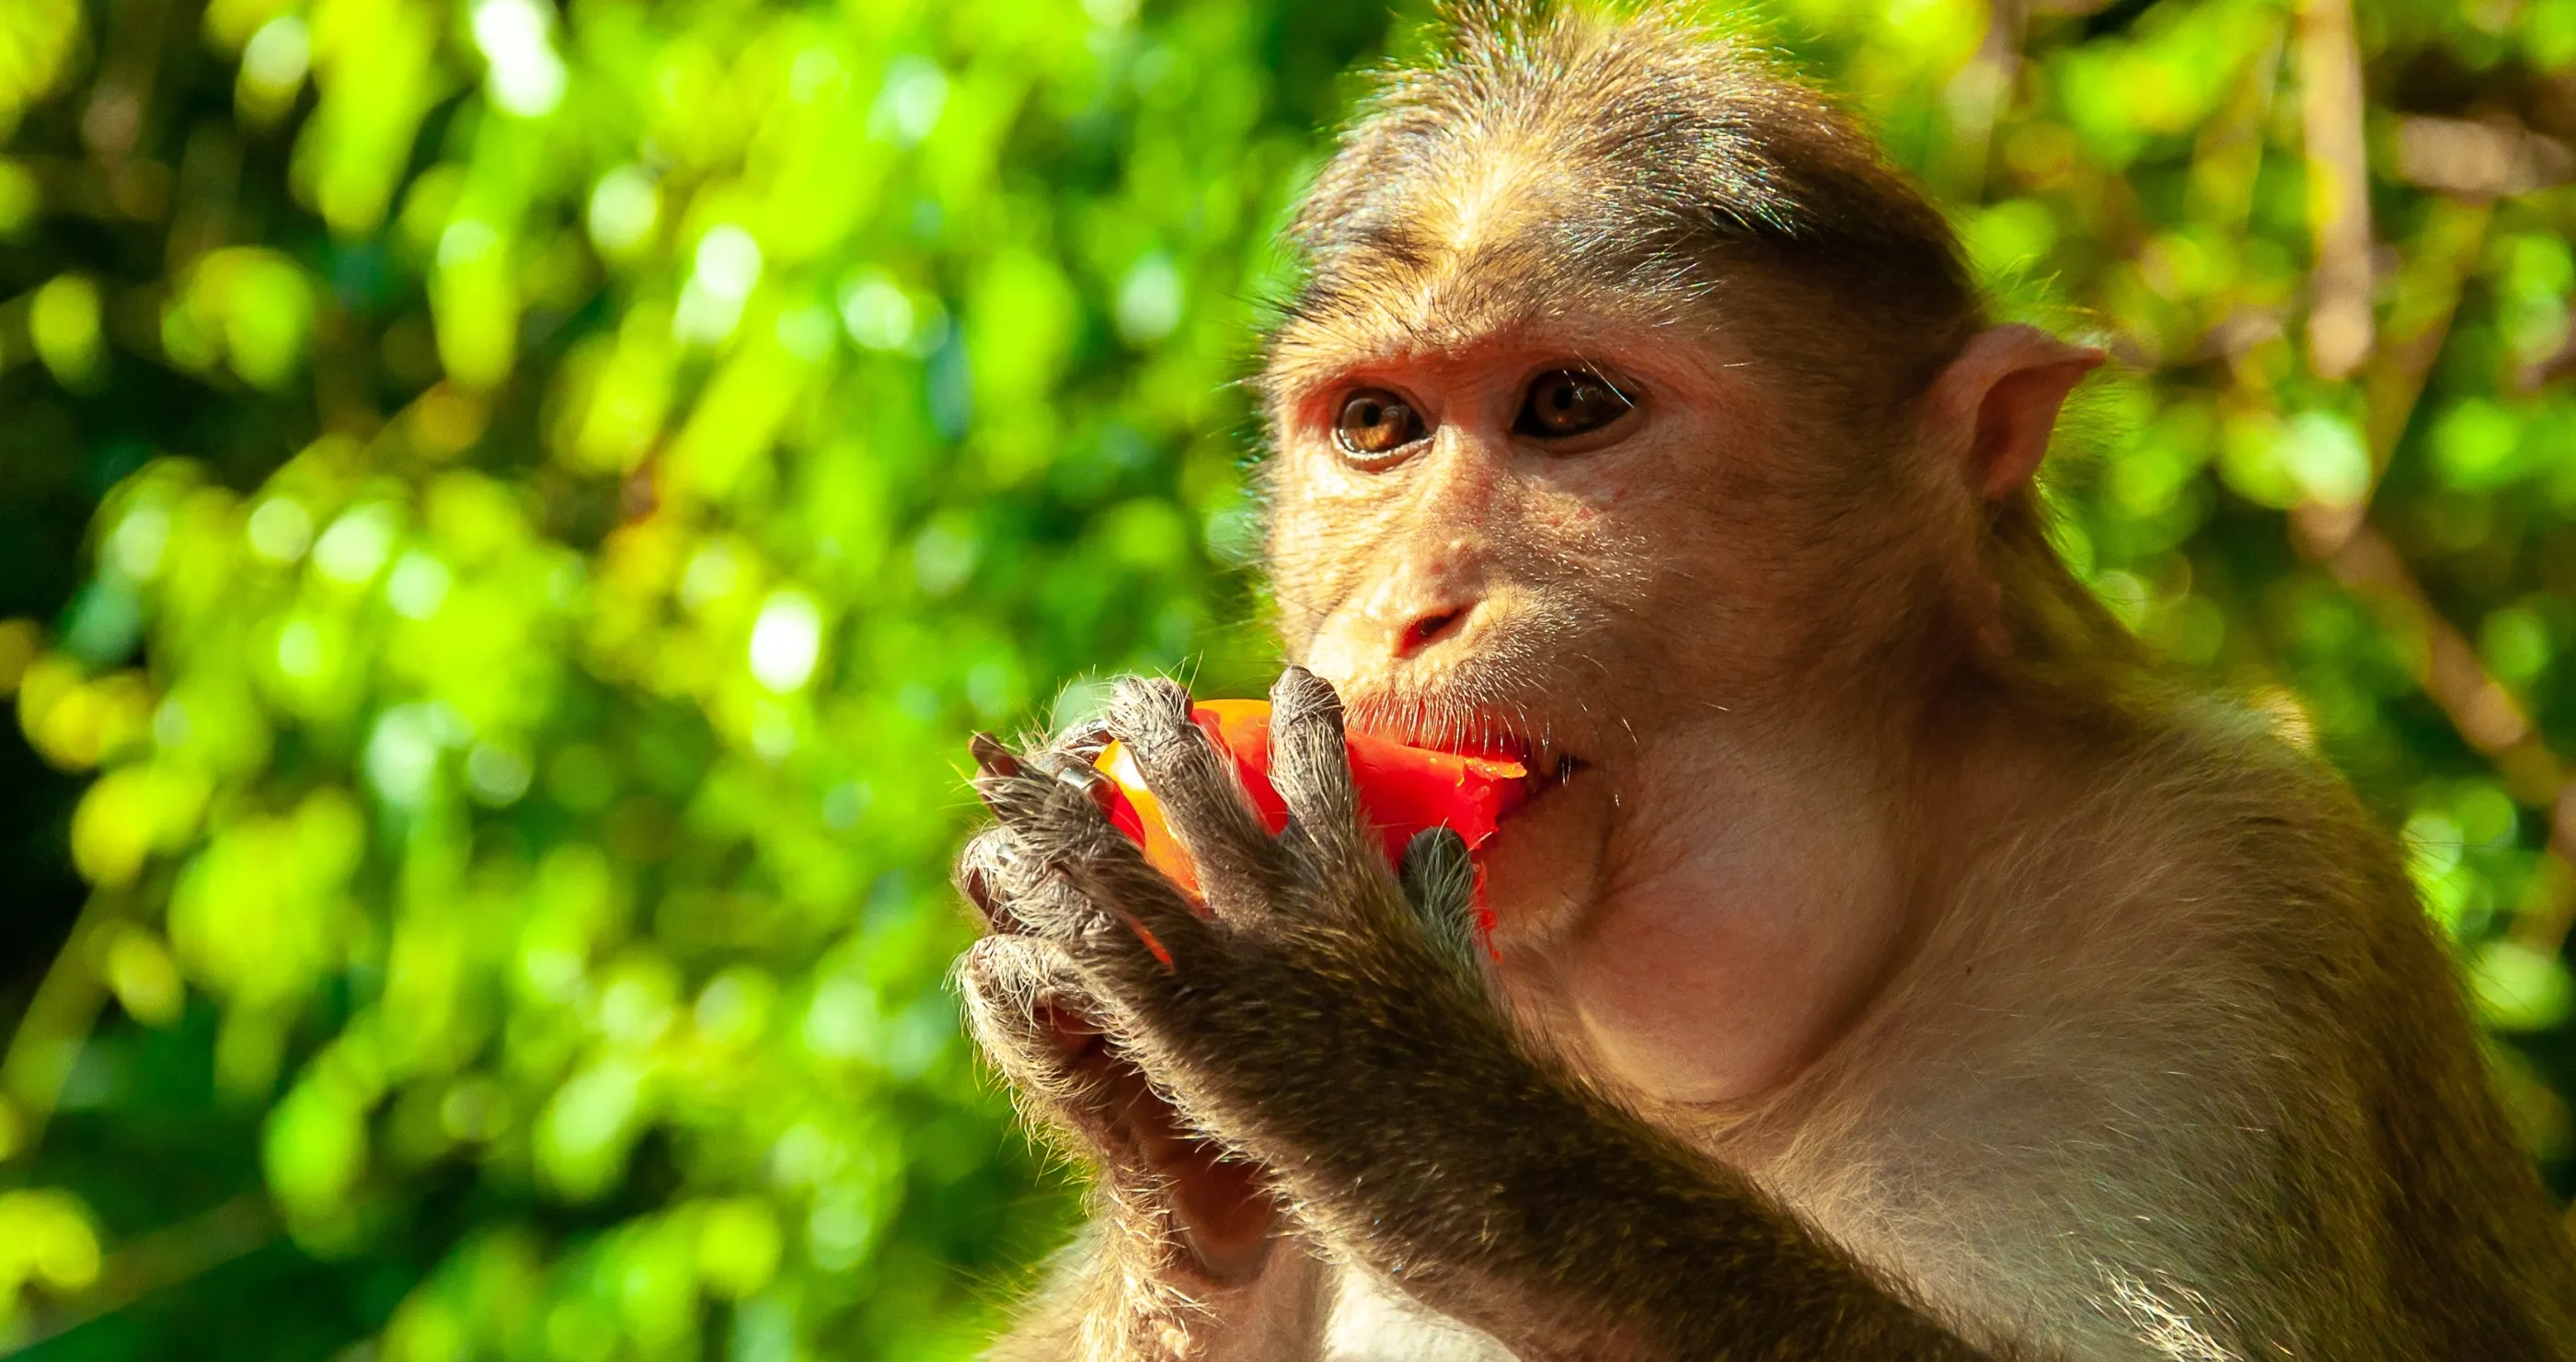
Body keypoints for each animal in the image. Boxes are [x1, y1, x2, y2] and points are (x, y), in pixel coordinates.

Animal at [948, 5, 2576, 1349]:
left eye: (1569, 407)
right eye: (1375, 427)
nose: (1405, 610)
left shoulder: (2233, 896)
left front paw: (1375, 1070)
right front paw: (1152, 1158)